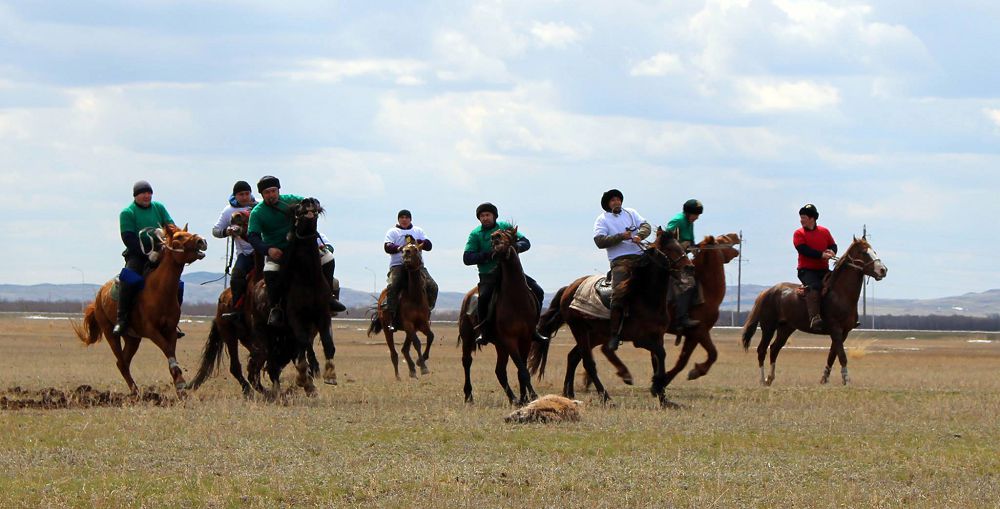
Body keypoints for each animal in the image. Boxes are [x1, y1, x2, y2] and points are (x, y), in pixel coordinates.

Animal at [72, 224, 207, 394]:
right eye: (179, 237)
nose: (202, 241)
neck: (159, 290)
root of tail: (99, 296)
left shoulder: (170, 330)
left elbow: (170, 349)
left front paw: (179, 385)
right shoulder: (151, 330)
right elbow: (167, 349)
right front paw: (181, 382)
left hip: (132, 339)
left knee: (123, 362)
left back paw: (135, 391)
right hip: (110, 334)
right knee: (121, 362)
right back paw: (135, 391)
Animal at [366, 234, 432, 378]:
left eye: (416, 249)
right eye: (403, 249)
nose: (405, 253)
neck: (415, 297)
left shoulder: (422, 324)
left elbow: (430, 337)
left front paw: (421, 362)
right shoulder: (408, 324)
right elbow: (417, 343)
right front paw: (423, 367)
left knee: (404, 349)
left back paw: (412, 369)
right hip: (388, 329)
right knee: (394, 353)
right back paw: (398, 376)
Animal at [532, 228, 688, 406]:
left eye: (681, 247)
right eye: (670, 249)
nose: (689, 267)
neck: (646, 297)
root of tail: (569, 288)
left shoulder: (657, 336)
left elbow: (657, 360)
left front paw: (663, 398)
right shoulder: (639, 339)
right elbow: (661, 354)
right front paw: (655, 386)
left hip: (594, 335)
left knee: (573, 356)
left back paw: (569, 393)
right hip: (580, 330)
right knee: (588, 362)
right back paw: (606, 396)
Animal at [592, 234, 744, 388]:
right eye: (724, 241)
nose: (737, 248)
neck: (706, 289)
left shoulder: (693, 334)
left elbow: (690, 357)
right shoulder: (698, 332)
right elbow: (699, 357)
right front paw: (689, 373)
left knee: (604, 348)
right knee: (605, 348)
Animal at [744, 237, 892, 384]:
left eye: (874, 251)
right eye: (863, 252)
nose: (883, 270)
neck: (840, 294)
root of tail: (767, 292)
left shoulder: (843, 332)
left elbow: (832, 355)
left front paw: (824, 378)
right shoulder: (836, 329)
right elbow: (842, 355)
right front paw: (846, 379)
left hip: (786, 328)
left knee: (774, 348)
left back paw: (770, 378)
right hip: (768, 327)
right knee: (762, 350)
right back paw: (762, 380)